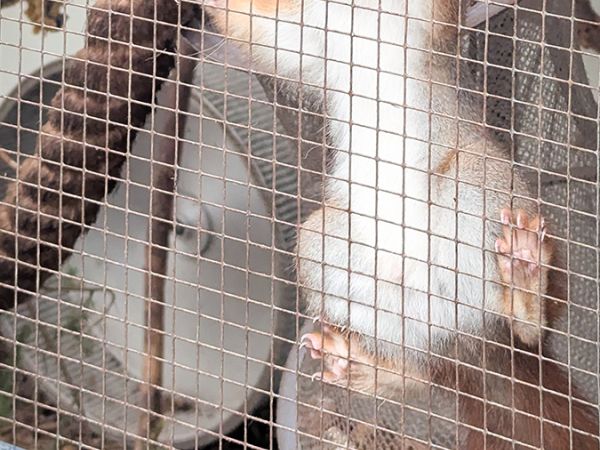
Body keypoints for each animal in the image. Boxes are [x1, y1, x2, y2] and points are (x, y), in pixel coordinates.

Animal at [203, 0, 600, 448]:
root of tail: (470, 341)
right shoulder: (310, 37)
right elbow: (262, 33)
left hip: (481, 181)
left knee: (533, 331)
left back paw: (523, 282)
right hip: (329, 249)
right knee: (425, 376)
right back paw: (368, 369)